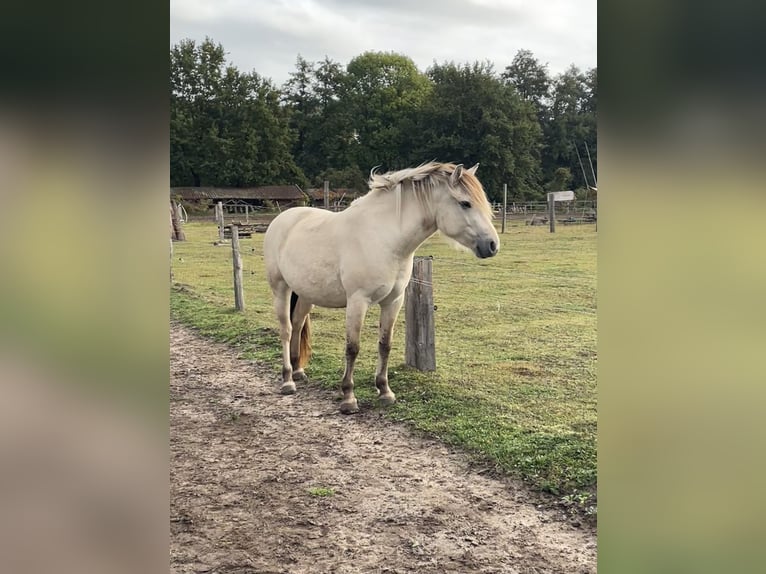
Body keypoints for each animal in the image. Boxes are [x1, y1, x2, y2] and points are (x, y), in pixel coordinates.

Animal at [263, 161, 499, 414]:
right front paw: (349, 397)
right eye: (465, 203)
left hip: (306, 295)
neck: (384, 238)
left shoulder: (393, 301)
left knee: (297, 325)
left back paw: (298, 371)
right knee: (286, 330)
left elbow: (385, 344)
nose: (492, 245)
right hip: (281, 289)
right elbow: (352, 347)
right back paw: (287, 380)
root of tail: (283, 218)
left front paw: (385, 391)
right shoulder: (357, 301)